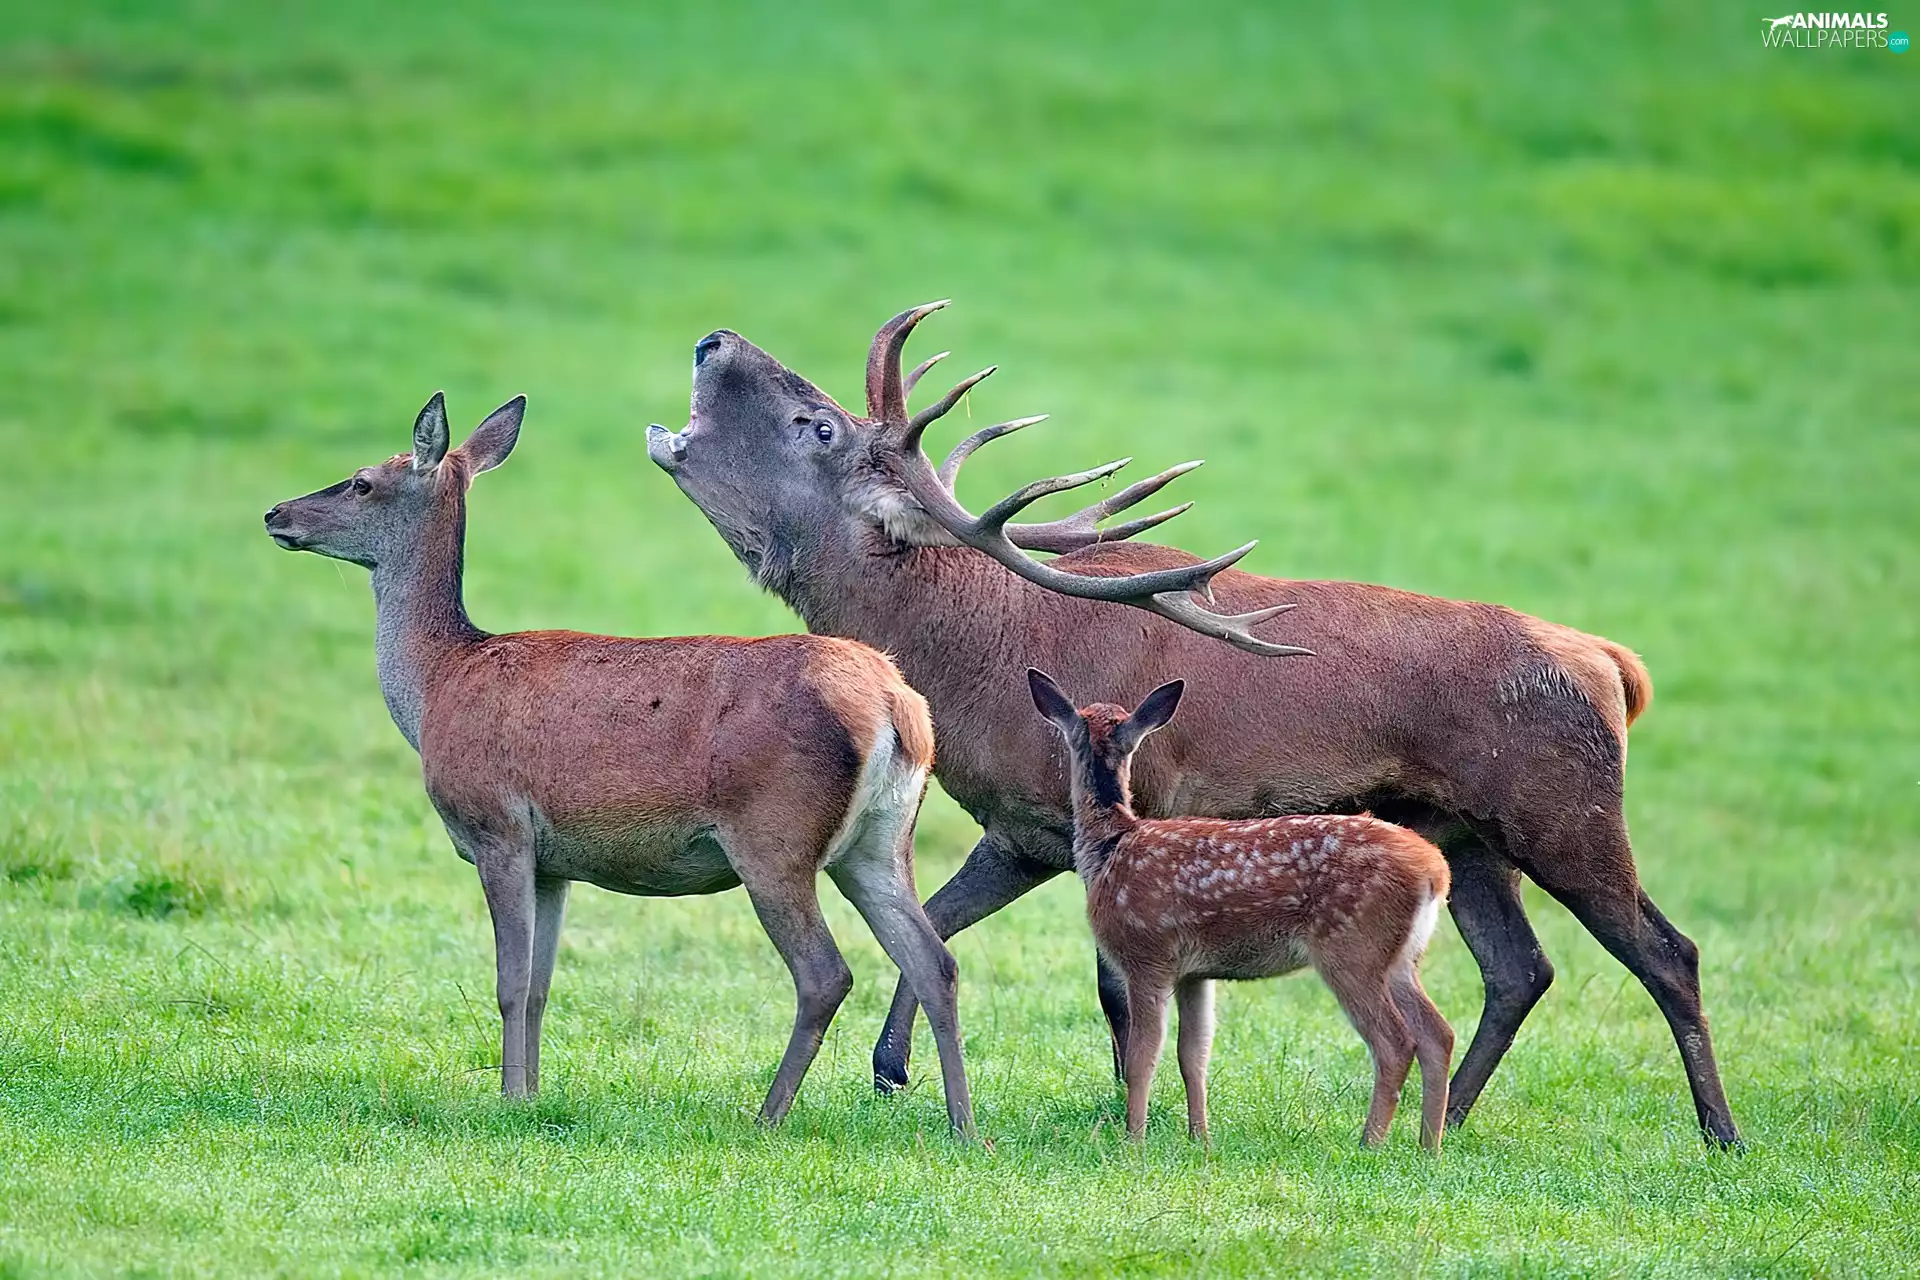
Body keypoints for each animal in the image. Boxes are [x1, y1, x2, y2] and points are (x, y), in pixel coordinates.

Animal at [264, 392, 974, 1136]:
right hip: (880, 840)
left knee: (825, 973)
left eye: (362, 481)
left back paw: (767, 1116)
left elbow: (509, 981)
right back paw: (963, 1128)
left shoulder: (498, 827)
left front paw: (508, 1098)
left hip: (773, 835)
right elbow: (541, 985)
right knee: (935, 962)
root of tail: (897, 705)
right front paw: (532, 1094)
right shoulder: (553, 862)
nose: (276, 514)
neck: (438, 684)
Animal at [1027, 669, 1454, 1149]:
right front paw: (1200, 1138)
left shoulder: (1146, 955)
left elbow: (1142, 1056)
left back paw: (1370, 1143)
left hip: (1352, 946)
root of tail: (1435, 870)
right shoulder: (1194, 973)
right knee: (1438, 1034)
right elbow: (1193, 1054)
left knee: (1395, 1042)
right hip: (1400, 957)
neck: (1111, 846)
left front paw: (1133, 1140)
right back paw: (1429, 1146)